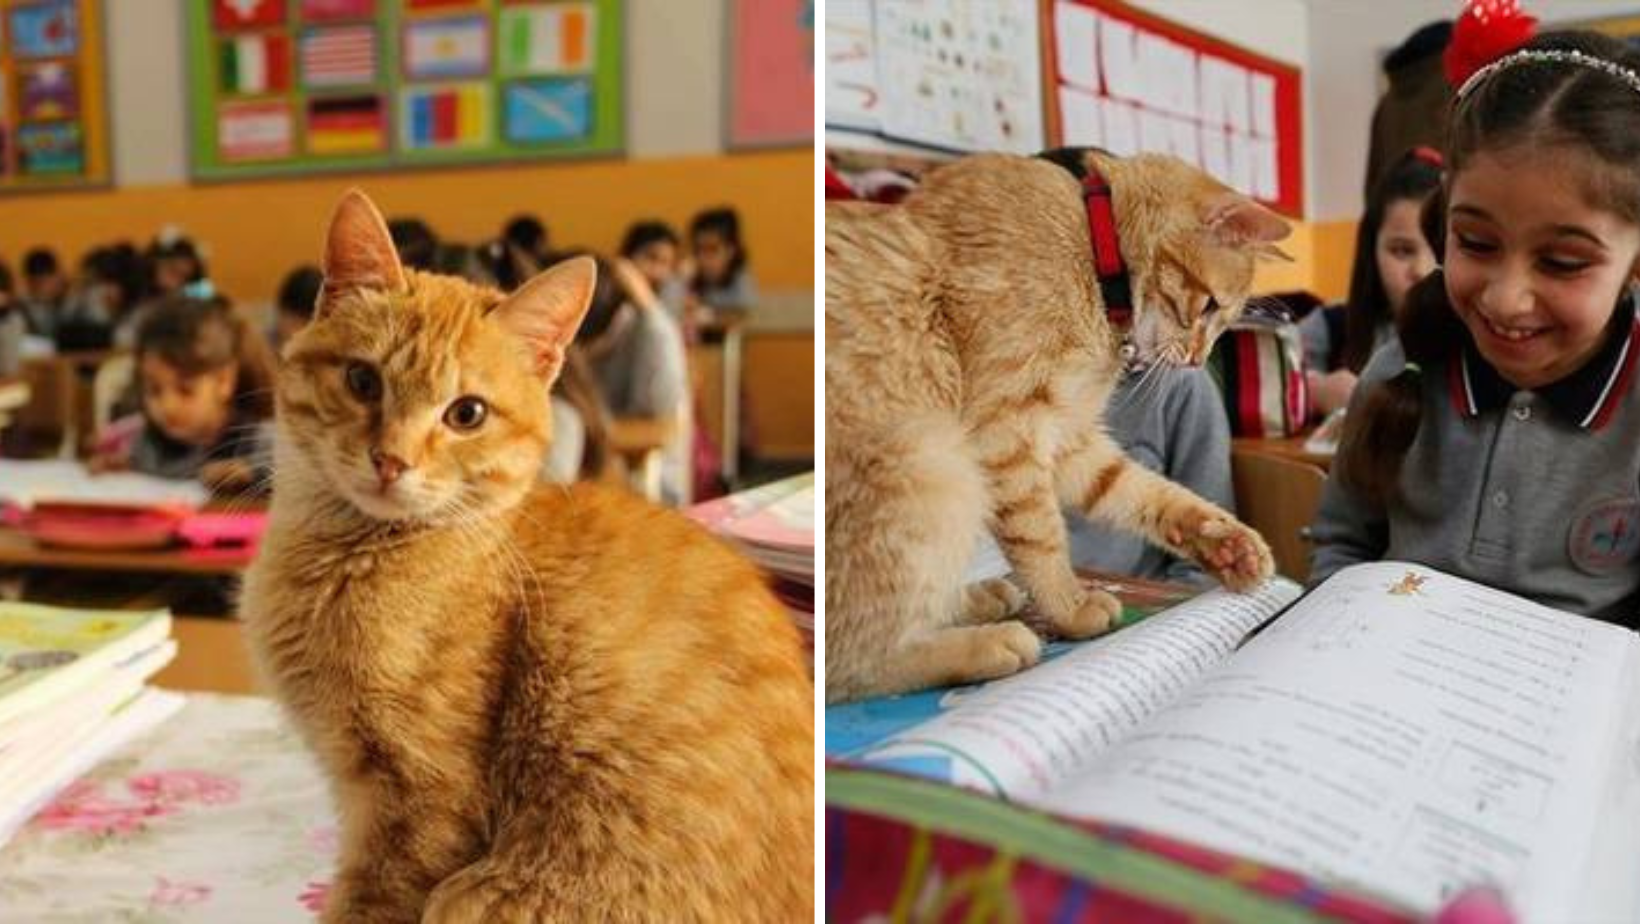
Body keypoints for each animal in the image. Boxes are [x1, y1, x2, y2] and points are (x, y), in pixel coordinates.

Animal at [237, 192, 813, 919]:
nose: (391, 460)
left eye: (467, 414)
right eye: (363, 380)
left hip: (485, 892)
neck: (349, 555)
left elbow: (368, 899)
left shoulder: (420, 803)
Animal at [833, 151, 1292, 705]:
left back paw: (977, 598)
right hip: (929, 462)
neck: (1095, 255)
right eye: (1208, 307)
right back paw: (981, 644)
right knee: (852, 661)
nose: (1196, 361)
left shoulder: (1066, 440)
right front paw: (1069, 606)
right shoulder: (1006, 429)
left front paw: (1223, 541)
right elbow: (1041, 536)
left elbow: (1145, 492)